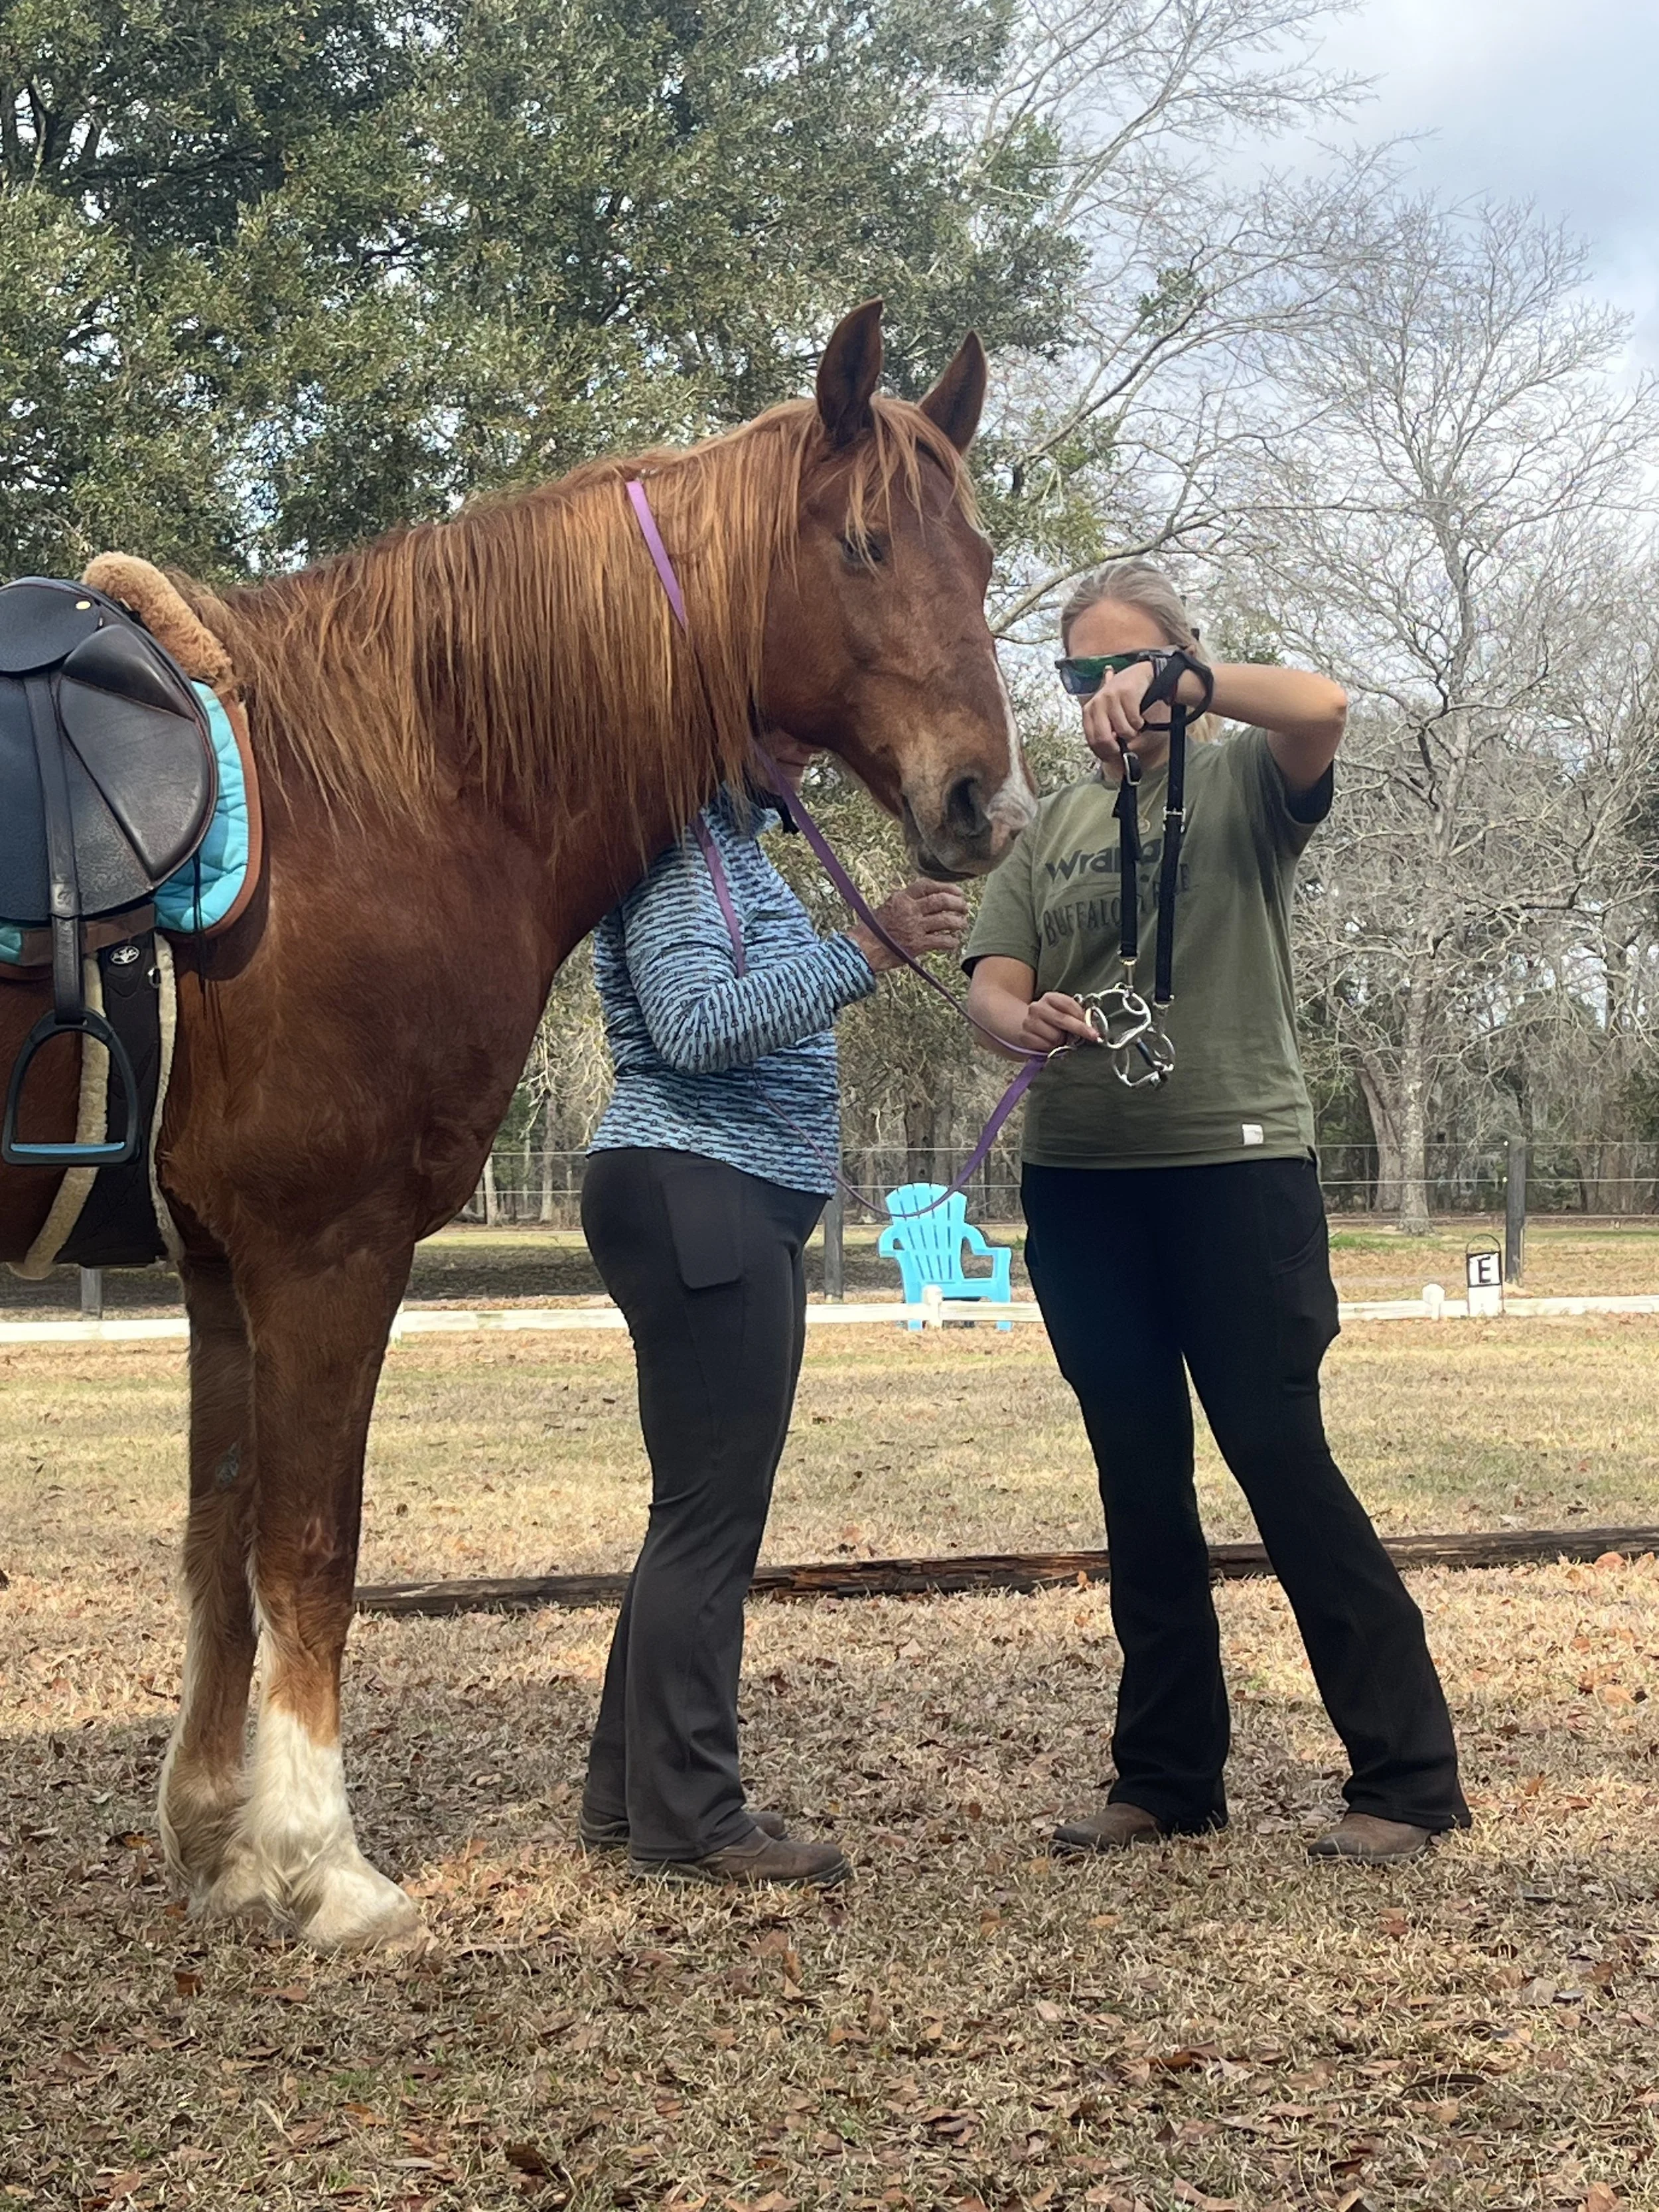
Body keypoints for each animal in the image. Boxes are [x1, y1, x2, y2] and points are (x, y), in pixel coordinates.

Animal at [0, 301, 1035, 1947]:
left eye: (983, 554)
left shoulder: (223, 1269)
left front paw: (218, 1840)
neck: (378, 792)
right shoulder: (326, 1256)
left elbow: (217, 1546)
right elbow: (311, 1550)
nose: (981, 803)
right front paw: (326, 1865)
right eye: (866, 542)